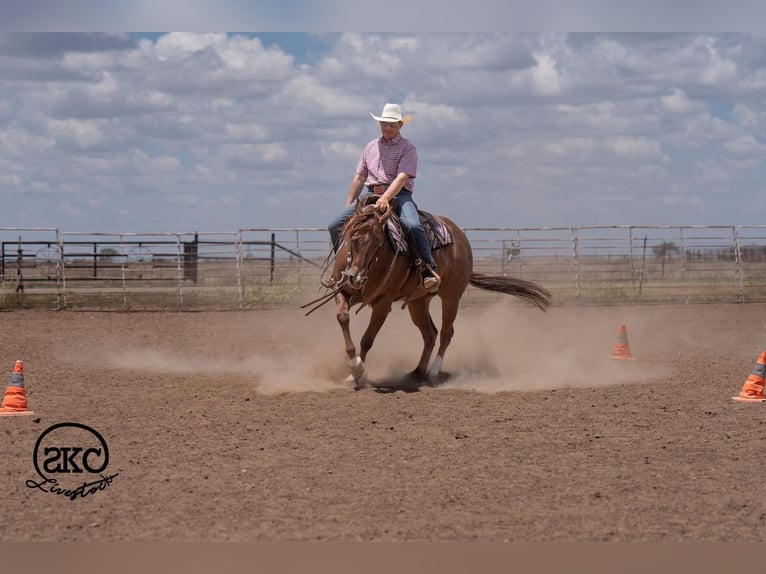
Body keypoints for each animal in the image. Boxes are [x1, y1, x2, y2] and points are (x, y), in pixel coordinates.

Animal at [304, 199, 551, 389]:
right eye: (352, 238)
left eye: (377, 242)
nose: (355, 277)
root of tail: (460, 237)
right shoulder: (343, 292)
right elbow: (343, 318)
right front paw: (352, 368)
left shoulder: (383, 303)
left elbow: (367, 339)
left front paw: (358, 370)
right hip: (418, 302)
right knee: (429, 334)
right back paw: (417, 372)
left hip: (451, 297)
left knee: (446, 333)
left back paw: (433, 372)